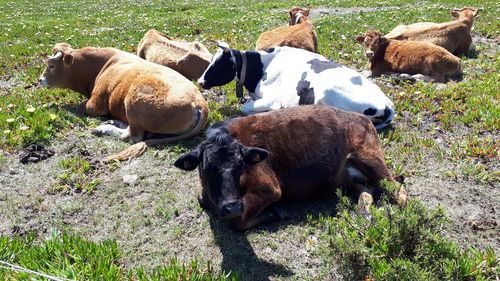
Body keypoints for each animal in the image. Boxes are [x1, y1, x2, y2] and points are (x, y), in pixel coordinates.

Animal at [39, 42, 209, 161]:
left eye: (51, 66)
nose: (40, 80)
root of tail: (200, 102)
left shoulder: (96, 104)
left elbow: (80, 107)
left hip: (134, 100)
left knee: (132, 136)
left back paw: (102, 128)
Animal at [174, 105, 408, 230]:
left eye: (241, 165)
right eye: (207, 168)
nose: (231, 206)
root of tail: (362, 118)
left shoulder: (268, 188)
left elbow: (238, 222)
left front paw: (275, 214)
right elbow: (202, 199)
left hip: (369, 158)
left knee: (399, 190)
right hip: (350, 177)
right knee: (369, 191)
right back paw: (364, 214)